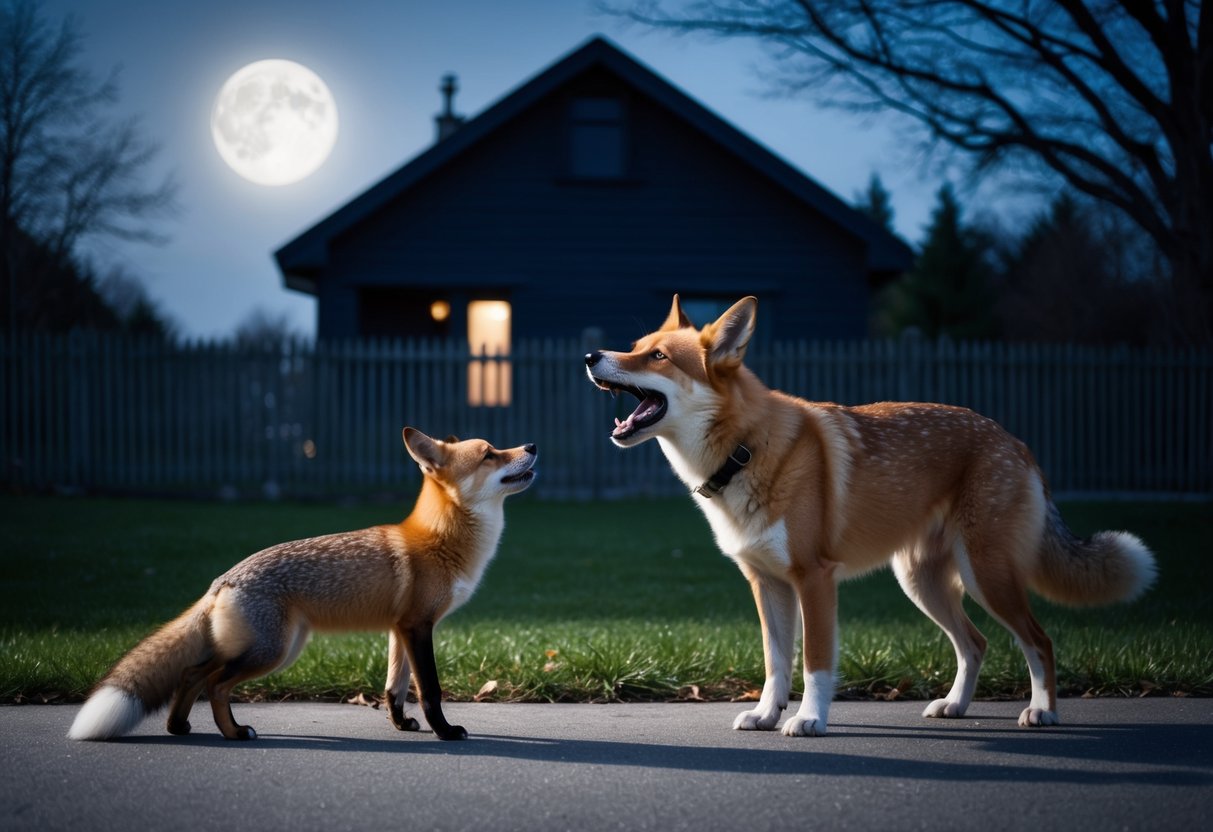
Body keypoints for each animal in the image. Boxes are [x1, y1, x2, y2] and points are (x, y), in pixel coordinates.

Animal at [68, 428, 536, 742]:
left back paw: (178, 725)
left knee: (191, 673)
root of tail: (222, 579)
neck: (441, 540)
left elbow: (394, 687)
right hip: (273, 652)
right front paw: (445, 731)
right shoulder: (419, 627)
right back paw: (233, 732)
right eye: (490, 454)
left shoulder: (400, 629)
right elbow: (431, 690)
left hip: (265, 648)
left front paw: (402, 724)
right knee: (215, 683)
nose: (531, 446)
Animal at [585, 295, 1156, 736]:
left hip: (987, 577)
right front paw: (768, 715)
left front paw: (809, 721)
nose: (591, 355)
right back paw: (956, 706)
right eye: (634, 348)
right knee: (976, 643)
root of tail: (1014, 442)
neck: (745, 450)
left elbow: (815, 663)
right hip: (922, 583)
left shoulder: (814, 580)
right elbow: (775, 665)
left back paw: (1043, 711)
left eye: (658, 356)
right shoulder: (767, 585)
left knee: (1040, 641)